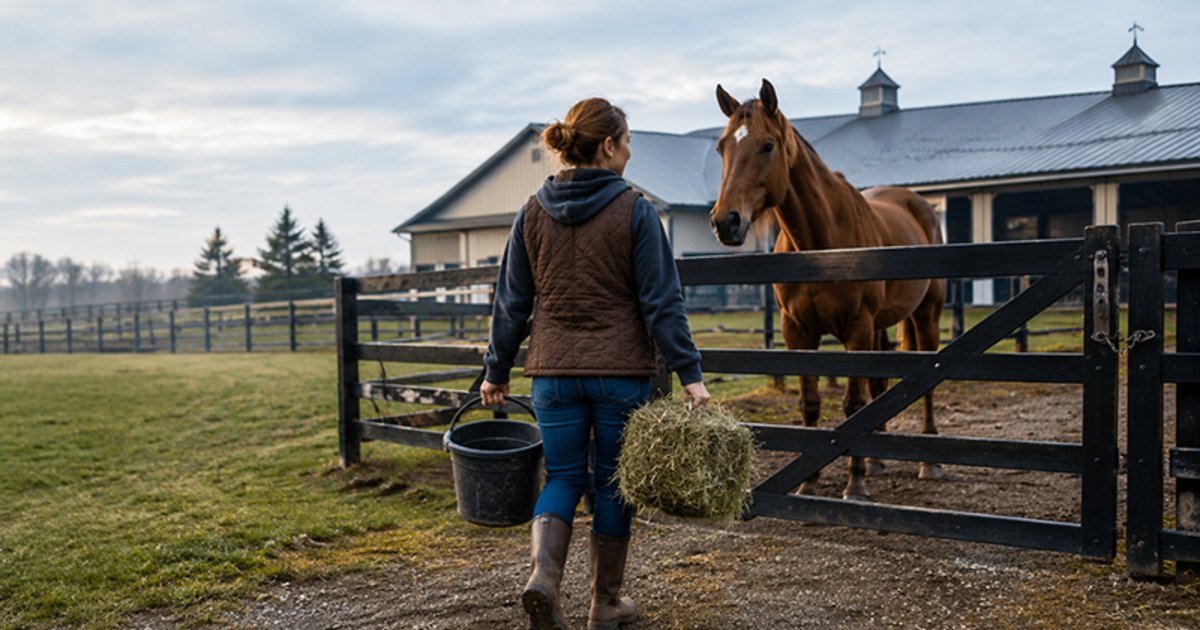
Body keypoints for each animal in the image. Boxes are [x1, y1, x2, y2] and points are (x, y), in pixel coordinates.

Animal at [709, 79, 946, 501]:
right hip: (881, 327)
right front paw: (808, 482)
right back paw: (878, 460)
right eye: (722, 147)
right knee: (878, 386)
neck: (821, 249)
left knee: (925, 378)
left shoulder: (856, 329)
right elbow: (811, 404)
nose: (726, 222)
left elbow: (852, 403)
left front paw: (855, 485)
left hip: (926, 313)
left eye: (767, 145)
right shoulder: (797, 332)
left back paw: (928, 462)